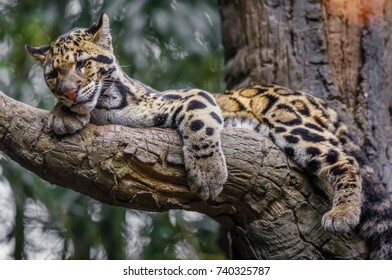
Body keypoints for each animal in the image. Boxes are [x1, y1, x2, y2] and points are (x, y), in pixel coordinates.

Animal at [26, 12, 390, 258]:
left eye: (82, 64)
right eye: (53, 74)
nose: (70, 92)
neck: (104, 104)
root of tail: (317, 101)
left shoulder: (188, 96)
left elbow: (200, 125)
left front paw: (208, 174)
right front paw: (63, 114)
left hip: (290, 123)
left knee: (343, 159)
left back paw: (343, 213)